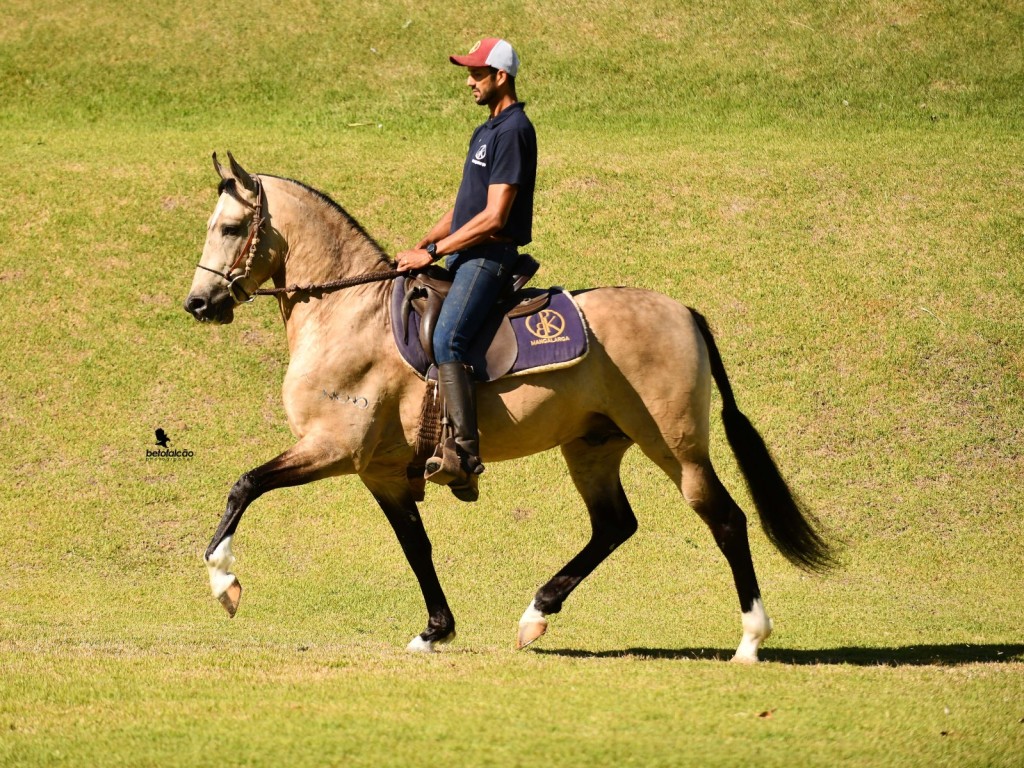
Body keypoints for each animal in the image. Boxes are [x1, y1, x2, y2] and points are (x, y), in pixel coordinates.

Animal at [180, 153, 827, 663]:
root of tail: (684, 311)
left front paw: (224, 578)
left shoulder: (333, 449)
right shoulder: (381, 472)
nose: (198, 304)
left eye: (232, 227)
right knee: (614, 525)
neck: (348, 314)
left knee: (725, 519)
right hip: (592, 447)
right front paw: (435, 632)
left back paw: (750, 640)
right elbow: (416, 546)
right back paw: (536, 613)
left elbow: (244, 485)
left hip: (675, 445)